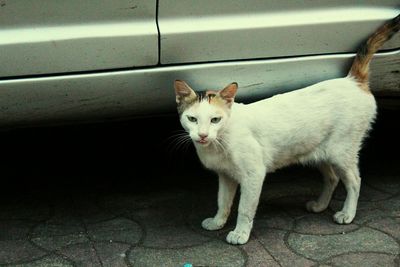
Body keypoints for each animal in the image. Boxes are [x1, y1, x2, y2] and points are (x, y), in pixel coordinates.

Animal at [173, 13, 398, 246]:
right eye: (192, 119)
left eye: (215, 120)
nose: (202, 135)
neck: (221, 140)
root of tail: (352, 80)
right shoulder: (226, 176)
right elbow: (223, 202)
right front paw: (218, 222)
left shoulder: (253, 175)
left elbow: (244, 209)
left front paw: (240, 233)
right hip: (319, 153)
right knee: (333, 178)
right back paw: (320, 205)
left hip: (341, 152)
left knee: (354, 181)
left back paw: (347, 214)